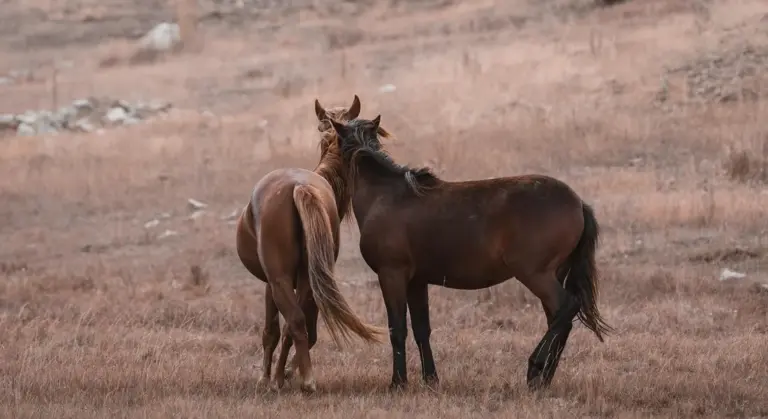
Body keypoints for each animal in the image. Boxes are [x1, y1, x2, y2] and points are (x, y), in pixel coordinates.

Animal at [235, 95, 386, 393]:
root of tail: (300, 188)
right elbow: (304, 331)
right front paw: (283, 374)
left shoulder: (270, 283)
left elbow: (271, 331)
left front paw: (270, 378)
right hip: (307, 278)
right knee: (299, 325)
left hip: (283, 280)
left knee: (293, 322)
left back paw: (302, 380)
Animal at [324, 115, 614, 391]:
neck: (385, 195)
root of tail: (578, 203)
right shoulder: (417, 282)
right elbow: (421, 329)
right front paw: (431, 380)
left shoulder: (391, 275)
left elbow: (398, 329)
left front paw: (398, 383)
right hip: (554, 273)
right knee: (560, 319)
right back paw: (543, 379)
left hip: (536, 275)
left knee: (566, 308)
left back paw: (535, 368)